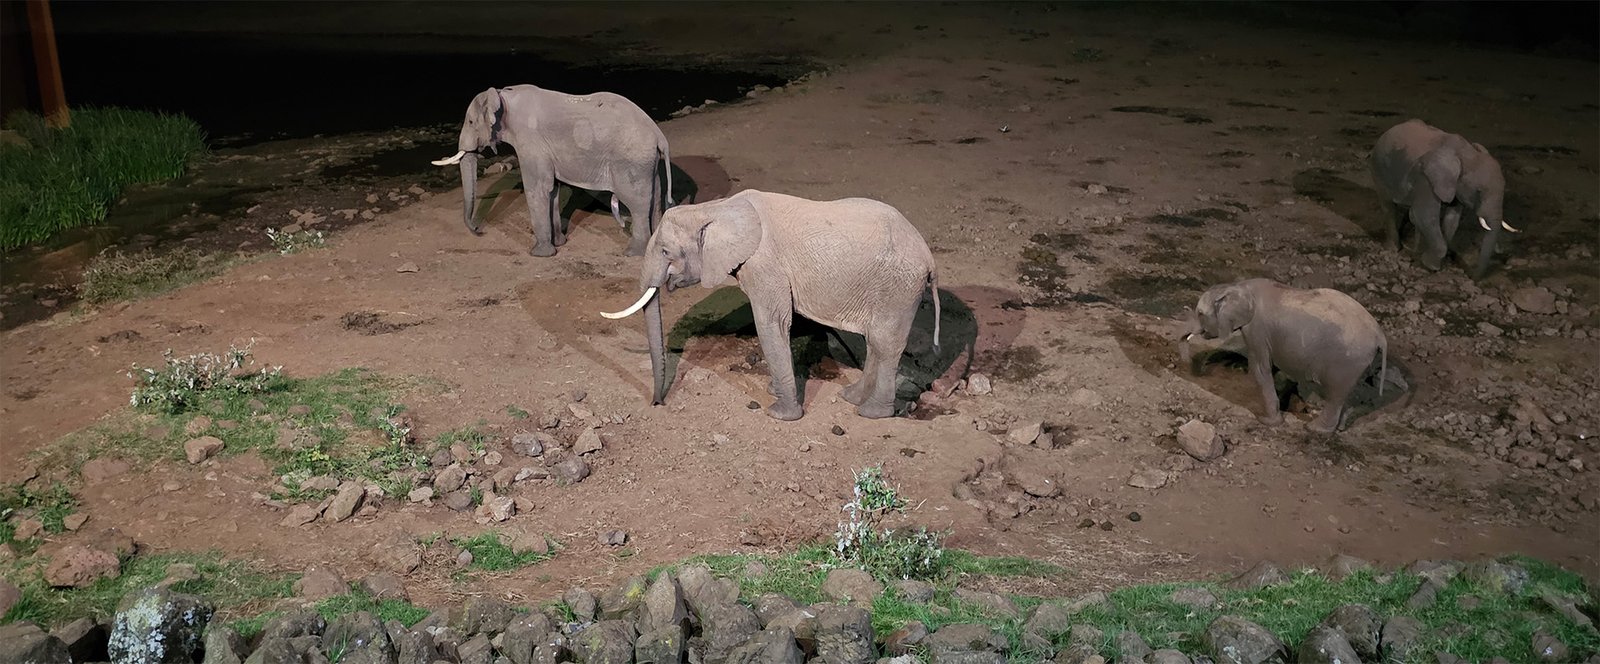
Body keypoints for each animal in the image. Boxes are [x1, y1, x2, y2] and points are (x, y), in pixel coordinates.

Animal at [431, 84, 672, 257]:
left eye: (471, 122)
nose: (480, 230)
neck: (502, 94)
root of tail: (658, 134)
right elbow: (553, 190)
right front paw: (559, 244)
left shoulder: (531, 143)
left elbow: (536, 189)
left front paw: (539, 254)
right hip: (647, 163)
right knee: (655, 198)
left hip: (631, 161)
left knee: (636, 204)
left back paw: (633, 253)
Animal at [599, 189, 942, 421]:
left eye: (667, 252)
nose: (657, 404)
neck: (716, 208)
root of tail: (929, 258)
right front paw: (774, 394)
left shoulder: (764, 266)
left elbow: (771, 324)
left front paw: (779, 413)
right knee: (875, 341)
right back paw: (851, 397)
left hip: (898, 288)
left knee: (885, 343)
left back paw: (871, 413)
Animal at [1178, 278, 1389, 434]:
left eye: (1200, 313)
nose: (1191, 364)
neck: (1236, 287)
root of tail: (1380, 335)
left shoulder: (1257, 329)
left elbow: (1260, 367)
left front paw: (1266, 421)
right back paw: (1339, 428)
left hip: (1348, 359)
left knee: (1335, 393)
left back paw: (1315, 429)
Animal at [1369, 118, 1519, 279]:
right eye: (1478, 192)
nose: (1470, 274)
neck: (1466, 154)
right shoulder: (1425, 179)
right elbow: (1426, 215)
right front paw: (1430, 265)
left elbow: (1452, 219)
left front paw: (1434, 260)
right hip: (1379, 169)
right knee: (1388, 207)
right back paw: (1394, 249)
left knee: (1409, 212)